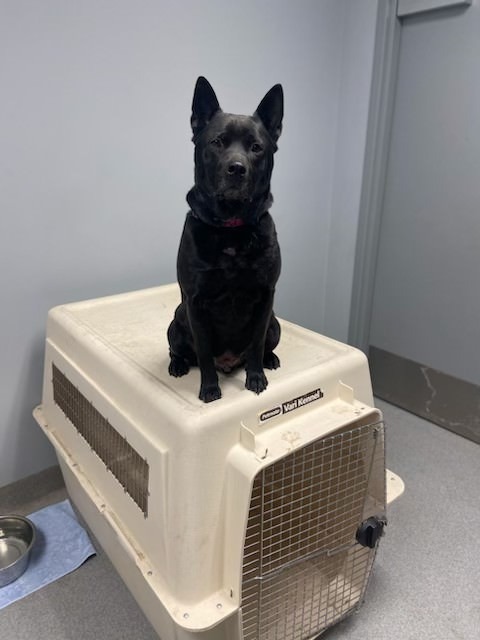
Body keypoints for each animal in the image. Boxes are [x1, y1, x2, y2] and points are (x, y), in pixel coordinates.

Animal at [167, 76, 283, 403]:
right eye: (217, 142)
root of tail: (229, 362)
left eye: (256, 147)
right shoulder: (195, 302)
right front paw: (209, 389)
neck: (232, 229)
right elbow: (204, 353)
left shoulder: (265, 297)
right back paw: (178, 365)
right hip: (177, 320)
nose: (237, 169)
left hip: (275, 323)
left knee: (264, 345)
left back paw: (270, 360)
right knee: (179, 351)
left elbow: (256, 344)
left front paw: (256, 377)